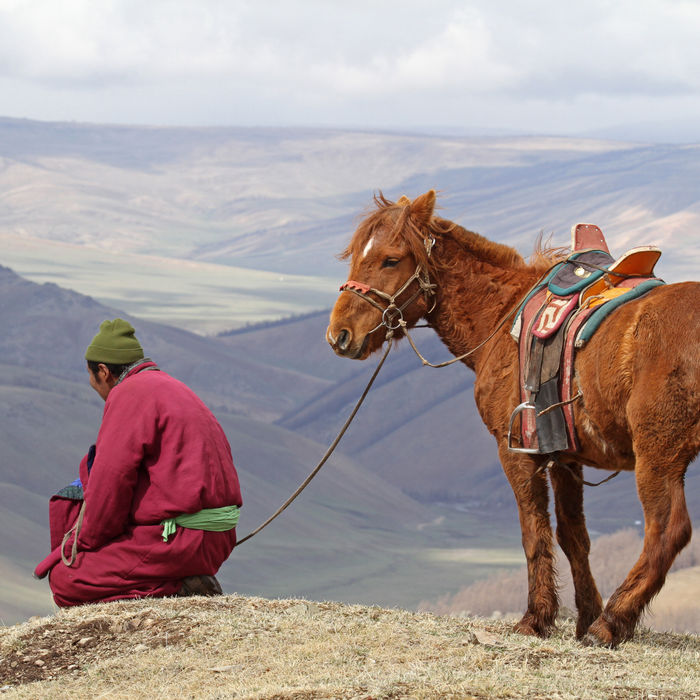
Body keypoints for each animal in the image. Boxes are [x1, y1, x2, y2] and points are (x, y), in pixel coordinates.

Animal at [327, 189, 700, 647]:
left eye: (390, 260)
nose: (340, 335)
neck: (502, 315)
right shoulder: (565, 457)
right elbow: (573, 536)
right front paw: (582, 615)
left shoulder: (518, 453)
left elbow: (533, 532)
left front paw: (537, 618)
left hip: (658, 456)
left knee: (667, 530)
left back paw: (612, 622)